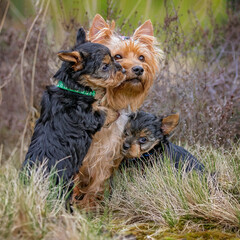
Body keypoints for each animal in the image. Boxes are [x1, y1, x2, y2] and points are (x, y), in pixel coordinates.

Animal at [22, 27, 125, 194]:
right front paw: (115, 110)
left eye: (114, 59)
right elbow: (104, 111)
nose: (123, 70)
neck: (73, 89)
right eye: (105, 66)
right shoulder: (88, 116)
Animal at [72, 15, 164, 209]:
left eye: (142, 57)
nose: (138, 69)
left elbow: (97, 183)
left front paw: (88, 205)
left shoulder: (107, 155)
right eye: (118, 56)